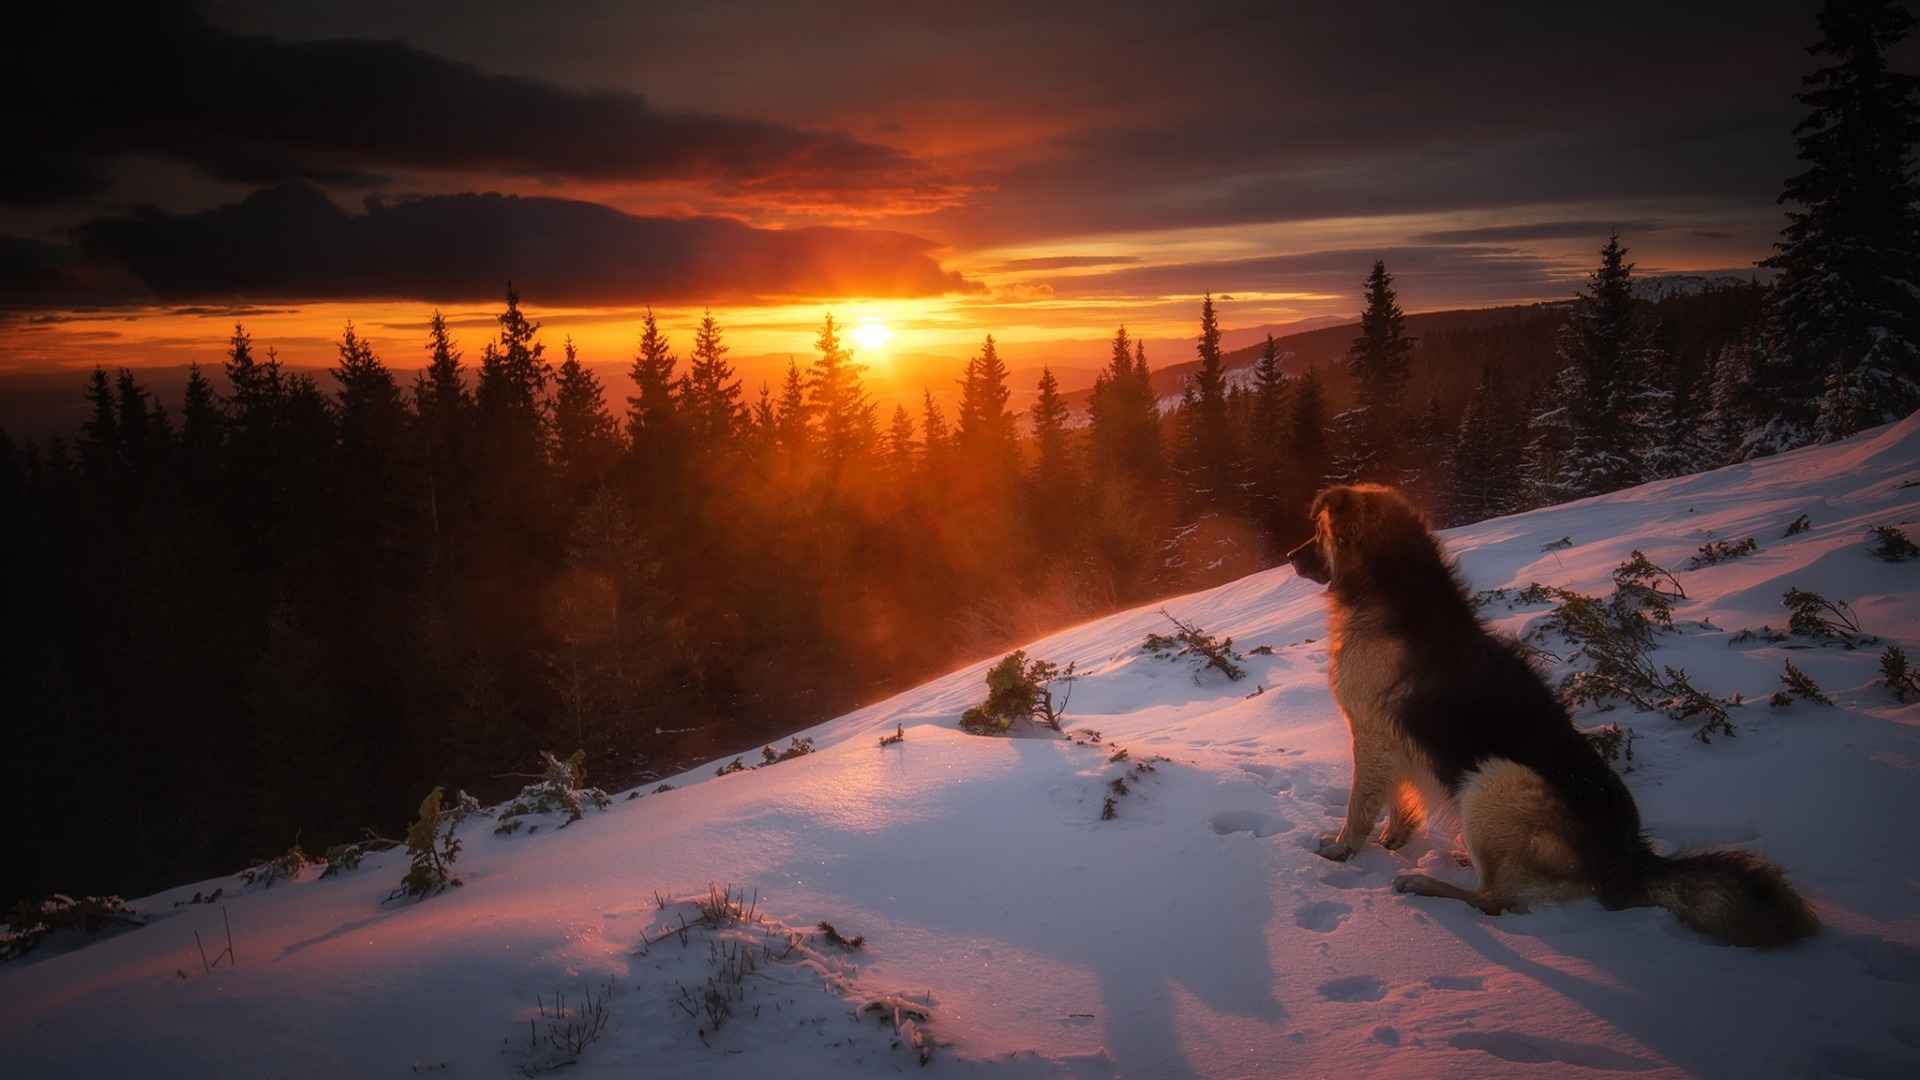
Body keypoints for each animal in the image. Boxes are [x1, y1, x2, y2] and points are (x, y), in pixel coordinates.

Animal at [1290, 484, 1812, 945]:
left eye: (1315, 532)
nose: (1291, 557)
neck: (1389, 587)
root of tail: (1630, 858)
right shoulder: (1393, 739)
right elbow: (1399, 798)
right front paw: (1393, 839)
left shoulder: (1371, 732)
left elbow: (1361, 805)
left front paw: (1342, 849)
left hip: (1494, 780)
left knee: (1494, 900)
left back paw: (1424, 885)